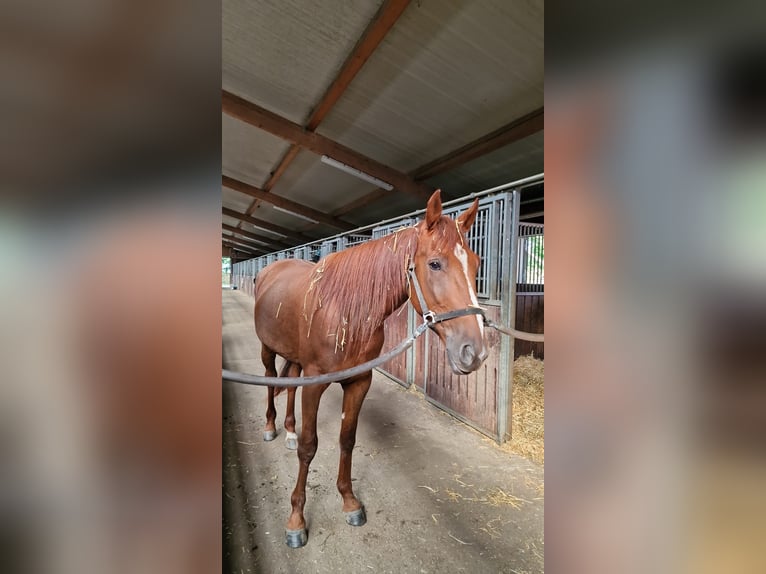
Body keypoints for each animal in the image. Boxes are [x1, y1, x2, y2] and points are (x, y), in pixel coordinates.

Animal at [255, 192, 488, 548]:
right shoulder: (316, 383)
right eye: (435, 263)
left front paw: (349, 501)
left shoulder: (359, 381)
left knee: (290, 384)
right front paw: (296, 519)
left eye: (475, 264)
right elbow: (310, 447)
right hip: (268, 350)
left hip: (295, 358)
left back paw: (290, 431)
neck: (346, 311)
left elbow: (347, 439)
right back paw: (271, 427)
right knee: (271, 383)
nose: (474, 352)